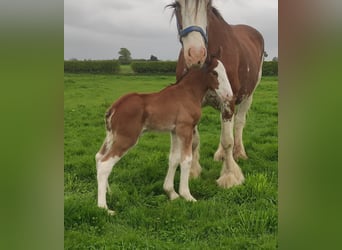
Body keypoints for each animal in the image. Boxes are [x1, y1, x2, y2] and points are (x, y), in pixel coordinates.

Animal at [94, 57, 232, 215]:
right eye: (215, 73)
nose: (229, 95)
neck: (188, 93)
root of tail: (114, 108)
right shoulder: (185, 129)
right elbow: (186, 160)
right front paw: (187, 196)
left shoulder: (175, 131)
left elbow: (174, 158)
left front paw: (171, 193)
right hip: (127, 138)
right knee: (105, 164)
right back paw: (104, 208)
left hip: (111, 136)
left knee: (98, 157)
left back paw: (108, 192)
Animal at [168, 0, 264, 188]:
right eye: (176, 5)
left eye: (207, 5)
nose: (196, 54)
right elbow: (194, 141)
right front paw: (192, 172)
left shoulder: (228, 100)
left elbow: (228, 140)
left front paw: (229, 175)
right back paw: (220, 154)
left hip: (248, 96)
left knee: (238, 123)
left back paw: (239, 153)